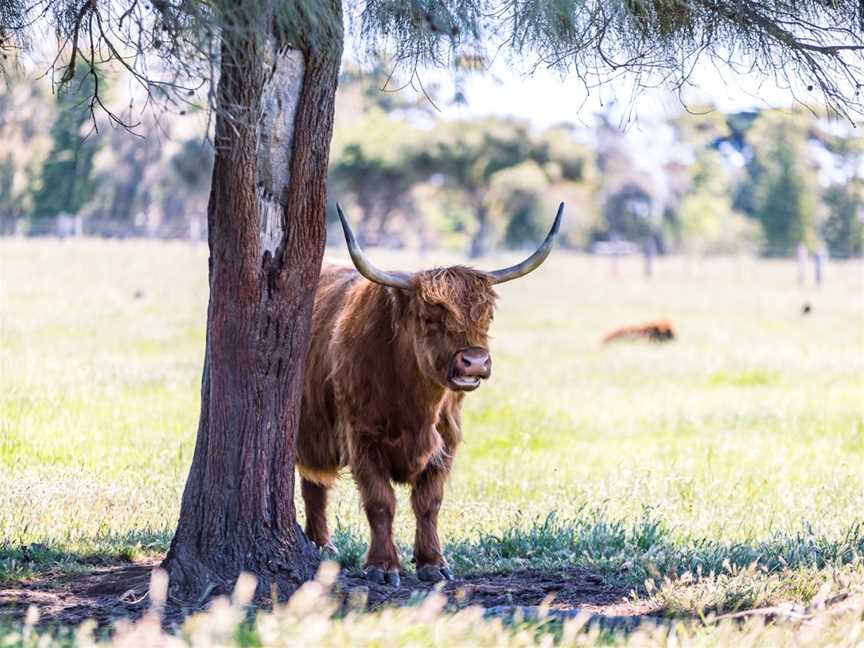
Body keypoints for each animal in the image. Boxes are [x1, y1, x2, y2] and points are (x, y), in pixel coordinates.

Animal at [296, 202, 568, 588]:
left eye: (487, 317)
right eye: (429, 319)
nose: (475, 362)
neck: (415, 405)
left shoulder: (446, 440)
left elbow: (429, 502)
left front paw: (432, 562)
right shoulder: (361, 438)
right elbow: (380, 501)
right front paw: (383, 566)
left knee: (314, 485)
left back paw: (322, 546)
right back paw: (322, 546)